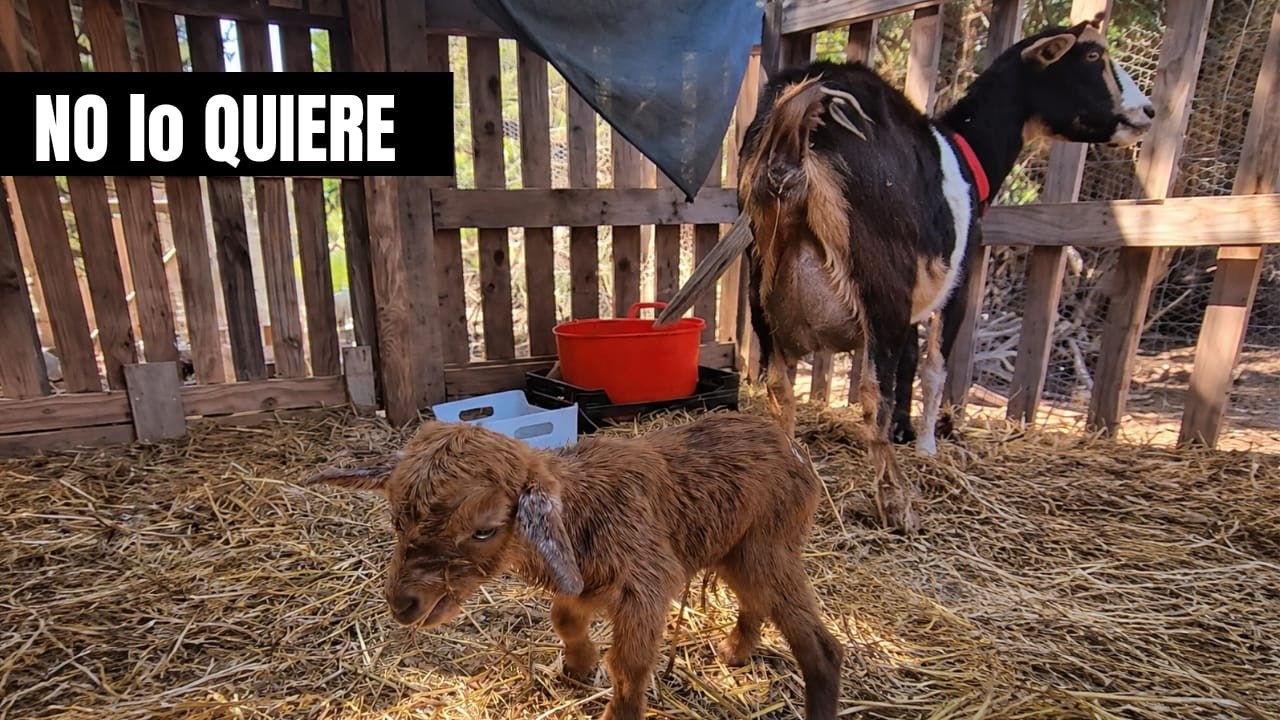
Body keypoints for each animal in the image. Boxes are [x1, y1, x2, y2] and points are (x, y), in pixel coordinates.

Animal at [303, 411, 844, 720]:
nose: (404, 604)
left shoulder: (646, 583)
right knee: (756, 602)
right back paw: (734, 651)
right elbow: (563, 618)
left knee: (821, 645)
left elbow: (629, 666)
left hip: (770, 545)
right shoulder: (584, 583)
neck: (583, 506)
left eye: (484, 529)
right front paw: (580, 666)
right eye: (395, 518)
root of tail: (787, 441)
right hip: (738, 550)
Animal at [659, 16, 1155, 534]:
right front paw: (926, 446)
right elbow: (933, 367)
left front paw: (906, 429)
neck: (967, 153)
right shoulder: (957, 282)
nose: (1147, 111)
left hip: (763, 287)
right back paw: (897, 502)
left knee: (779, 391)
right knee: (870, 390)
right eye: (1094, 56)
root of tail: (794, 135)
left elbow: (911, 361)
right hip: (880, 285)